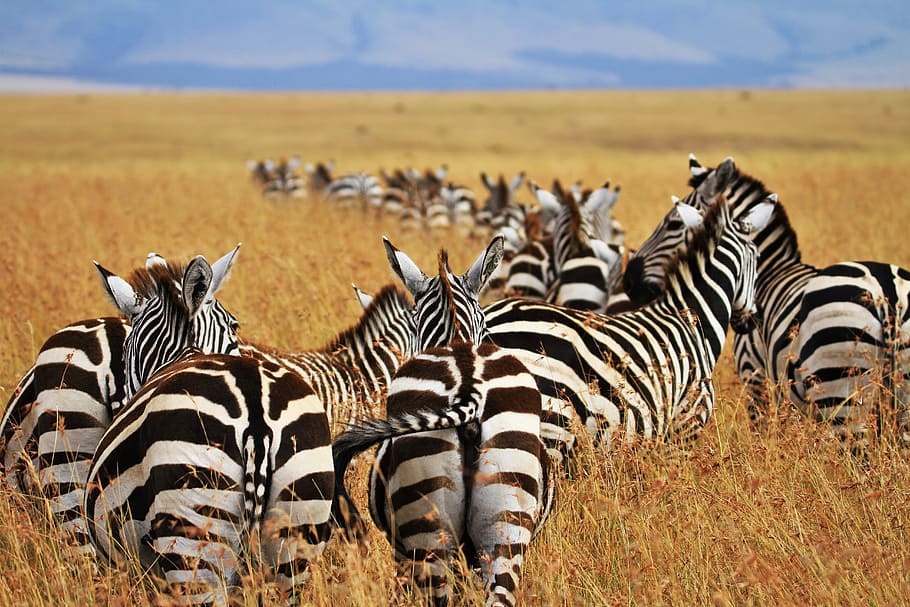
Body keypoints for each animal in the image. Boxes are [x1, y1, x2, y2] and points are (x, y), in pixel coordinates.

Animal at [624, 154, 910, 447]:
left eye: (673, 224)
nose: (628, 281)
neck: (770, 272)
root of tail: (888, 291)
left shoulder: (756, 379)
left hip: (841, 389)